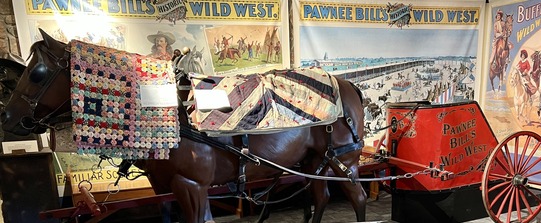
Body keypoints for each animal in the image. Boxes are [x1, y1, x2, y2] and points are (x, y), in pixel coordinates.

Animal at [1, 30, 368, 223]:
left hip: (343, 161)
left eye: (37, 73)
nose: (6, 118)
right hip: (313, 162)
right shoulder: (169, 189)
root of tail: (347, 84)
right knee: (321, 196)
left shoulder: (192, 185)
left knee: (358, 197)